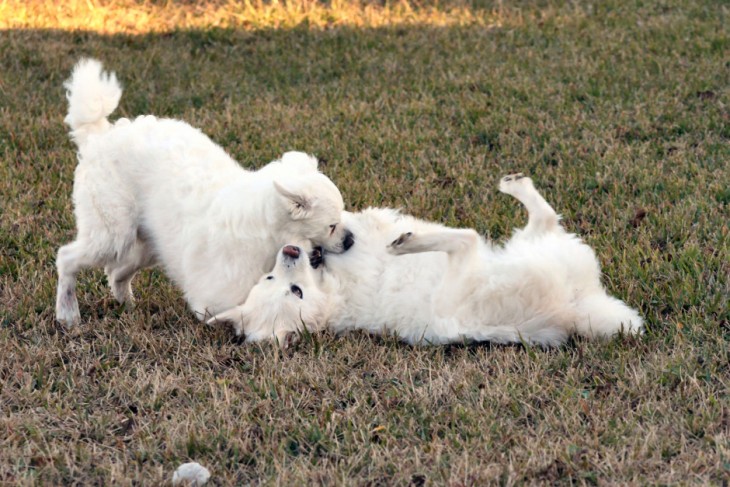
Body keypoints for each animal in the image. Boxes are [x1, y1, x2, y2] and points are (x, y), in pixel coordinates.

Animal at [57, 56, 352, 332]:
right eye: (331, 225)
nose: (350, 240)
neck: (268, 232)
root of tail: (99, 136)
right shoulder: (213, 299)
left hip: (147, 245)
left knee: (116, 272)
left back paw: (127, 305)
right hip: (112, 236)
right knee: (67, 257)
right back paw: (68, 314)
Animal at [212, 175, 644, 346]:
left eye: (273, 282)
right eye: (295, 292)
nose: (290, 252)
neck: (330, 288)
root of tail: (578, 306)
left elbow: (355, 220)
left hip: (526, 243)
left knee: (543, 216)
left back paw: (514, 185)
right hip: (471, 277)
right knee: (468, 239)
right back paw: (408, 242)